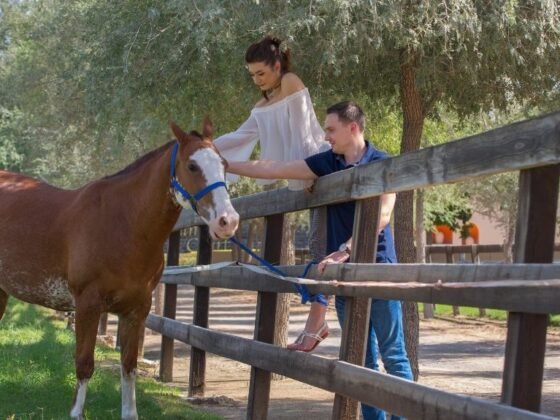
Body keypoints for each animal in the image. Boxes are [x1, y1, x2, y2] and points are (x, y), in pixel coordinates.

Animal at [0, 120, 238, 418]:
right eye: (192, 166)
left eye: (224, 163)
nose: (228, 221)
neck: (123, 223)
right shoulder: (88, 305)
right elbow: (84, 363)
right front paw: (76, 412)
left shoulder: (136, 310)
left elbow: (129, 366)